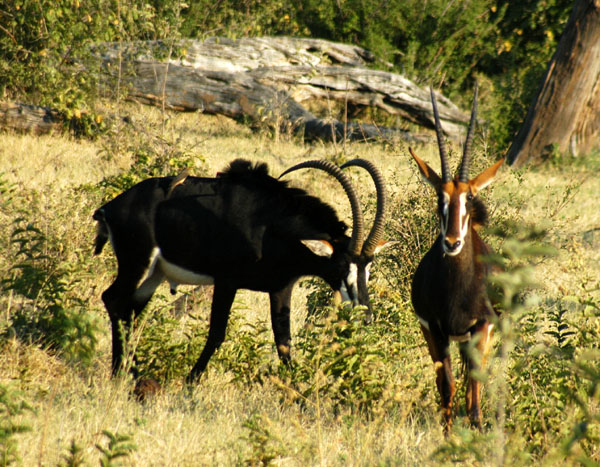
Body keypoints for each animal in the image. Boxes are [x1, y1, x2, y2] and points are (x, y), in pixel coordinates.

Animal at [91, 159, 386, 382]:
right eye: (342, 265)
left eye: (368, 269)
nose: (366, 316)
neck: (272, 227)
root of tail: (110, 208)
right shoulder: (226, 281)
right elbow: (216, 334)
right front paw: (190, 383)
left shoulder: (280, 288)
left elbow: (284, 342)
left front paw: (296, 391)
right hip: (137, 264)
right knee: (114, 301)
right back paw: (123, 376)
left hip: (153, 275)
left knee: (130, 311)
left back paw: (130, 373)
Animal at [408, 86, 506, 434]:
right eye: (440, 197)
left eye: (469, 196)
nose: (451, 243)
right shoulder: (434, 329)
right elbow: (446, 384)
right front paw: (448, 434)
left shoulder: (481, 328)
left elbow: (473, 385)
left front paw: (475, 425)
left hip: (479, 337)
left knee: (474, 382)